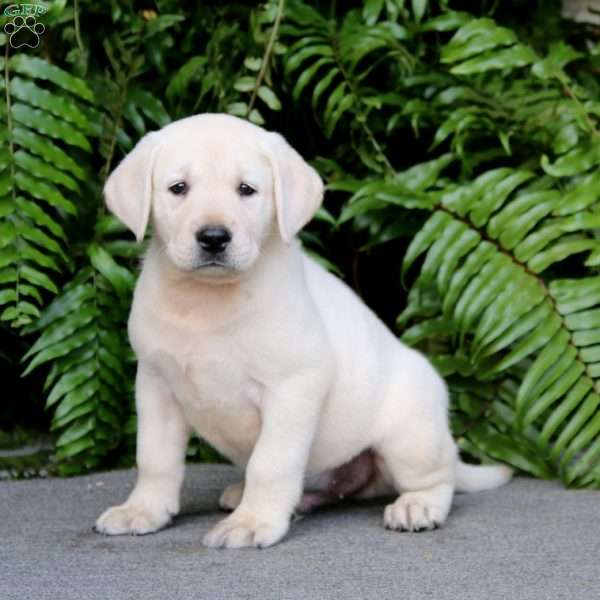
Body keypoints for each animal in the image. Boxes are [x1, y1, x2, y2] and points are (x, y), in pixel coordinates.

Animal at [95, 112, 510, 548]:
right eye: (178, 188)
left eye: (246, 190)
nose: (213, 237)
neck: (208, 301)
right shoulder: (155, 385)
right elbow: (154, 458)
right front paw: (143, 509)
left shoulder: (293, 386)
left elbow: (271, 462)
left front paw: (253, 521)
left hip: (411, 437)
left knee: (437, 480)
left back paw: (418, 505)